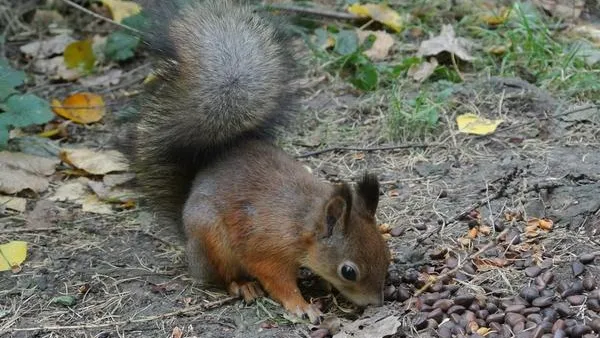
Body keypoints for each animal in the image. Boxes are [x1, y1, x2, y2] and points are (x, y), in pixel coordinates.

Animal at [129, 0, 392, 324]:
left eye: (386, 252)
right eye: (348, 271)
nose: (376, 303)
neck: (302, 222)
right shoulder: (265, 250)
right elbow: (277, 281)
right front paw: (302, 306)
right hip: (212, 242)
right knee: (221, 277)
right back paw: (242, 286)